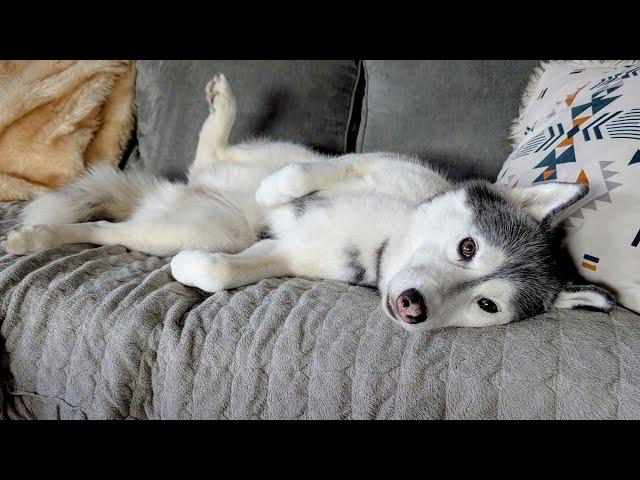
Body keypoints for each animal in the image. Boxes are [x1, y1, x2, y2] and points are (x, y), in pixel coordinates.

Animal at [1, 74, 616, 330]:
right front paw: (280, 192)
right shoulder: (372, 160)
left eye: (487, 305)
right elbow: (314, 172)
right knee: (228, 156)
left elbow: (226, 271)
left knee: (111, 231)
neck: (384, 243)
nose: (412, 307)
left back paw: (42, 235)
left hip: (205, 225)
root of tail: (193, 187)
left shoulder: (288, 255)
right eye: (467, 247)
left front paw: (195, 270)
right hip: (267, 154)